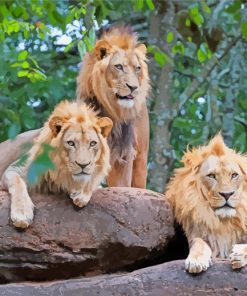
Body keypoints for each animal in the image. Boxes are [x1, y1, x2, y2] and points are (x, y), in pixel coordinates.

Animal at [0, 100, 113, 228]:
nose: (83, 165)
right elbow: (18, 184)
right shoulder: (15, 169)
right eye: (71, 143)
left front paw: (82, 192)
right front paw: (22, 214)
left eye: (93, 143)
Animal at [165, 135, 247, 274]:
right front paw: (196, 261)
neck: (223, 221)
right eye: (212, 176)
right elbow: (199, 243)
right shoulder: (197, 233)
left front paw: (239, 255)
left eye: (234, 175)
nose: (227, 194)